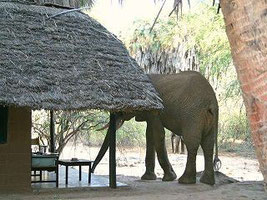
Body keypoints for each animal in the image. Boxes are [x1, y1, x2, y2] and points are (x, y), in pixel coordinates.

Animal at [92, 71, 222, 185]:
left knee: (192, 143)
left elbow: (158, 134)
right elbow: (150, 134)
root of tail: (212, 102)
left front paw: (169, 178)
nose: (92, 171)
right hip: (207, 118)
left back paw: (185, 181)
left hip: (193, 115)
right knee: (208, 144)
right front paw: (149, 178)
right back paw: (207, 182)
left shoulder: (155, 110)